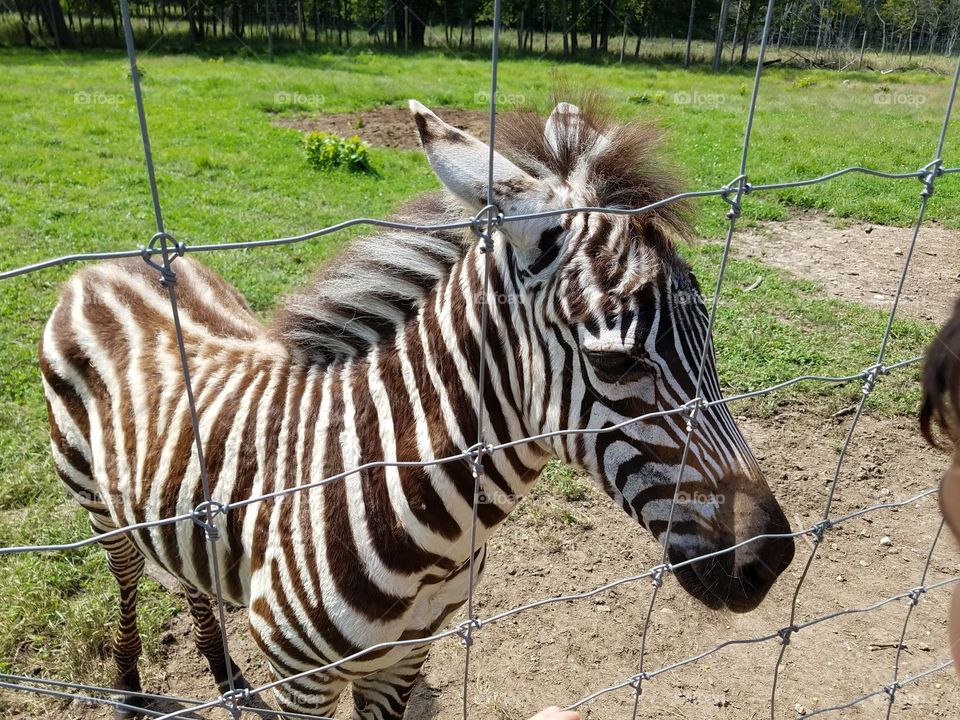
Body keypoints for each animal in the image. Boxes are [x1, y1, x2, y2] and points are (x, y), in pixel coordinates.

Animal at [39, 98, 796, 716]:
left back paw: (224, 671)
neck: (429, 534)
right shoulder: (303, 684)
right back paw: (128, 686)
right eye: (615, 360)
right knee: (128, 575)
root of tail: (112, 263)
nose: (772, 560)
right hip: (95, 502)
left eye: (710, 339)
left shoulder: (405, 660)